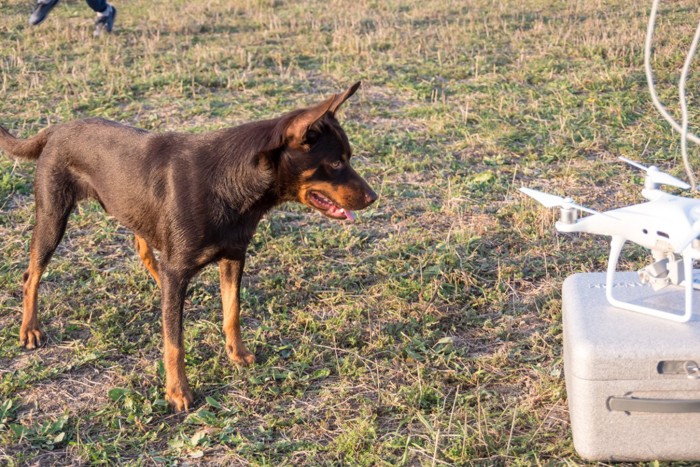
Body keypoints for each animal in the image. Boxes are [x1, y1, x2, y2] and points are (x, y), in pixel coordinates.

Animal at [0, 82, 378, 412]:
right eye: (336, 163)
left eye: (347, 158)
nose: (374, 197)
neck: (233, 181)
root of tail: (55, 129)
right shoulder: (182, 267)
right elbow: (174, 343)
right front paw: (178, 391)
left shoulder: (234, 257)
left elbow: (232, 312)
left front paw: (236, 353)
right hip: (52, 218)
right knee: (31, 275)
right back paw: (30, 329)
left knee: (144, 249)